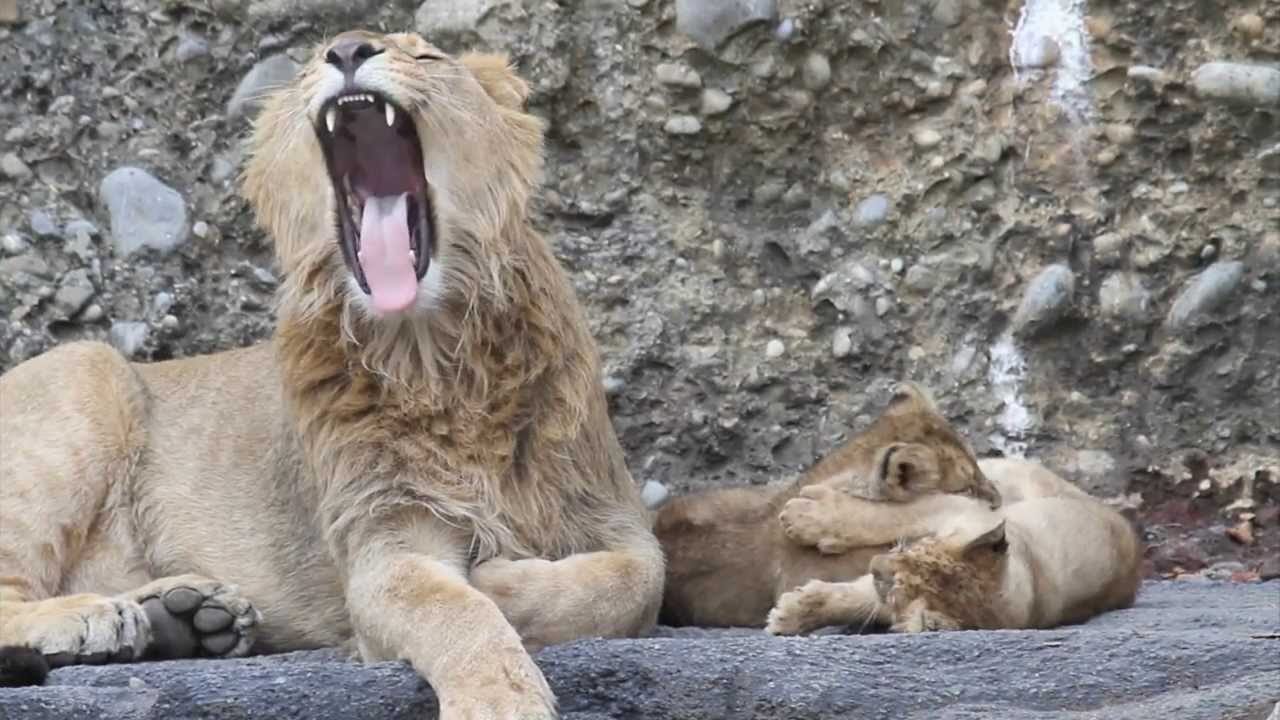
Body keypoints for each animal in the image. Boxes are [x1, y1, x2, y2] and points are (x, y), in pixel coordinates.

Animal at [0, 30, 665, 718]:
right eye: (308, 64)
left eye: (426, 56)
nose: (348, 48)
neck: (431, 356)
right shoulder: (381, 541)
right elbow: (456, 613)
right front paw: (499, 688)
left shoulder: (610, 509)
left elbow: (636, 580)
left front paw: (501, 580)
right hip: (85, 370)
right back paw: (98, 618)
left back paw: (186, 616)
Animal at [765, 457, 1142, 635]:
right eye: (915, 547)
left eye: (899, 591)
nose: (874, 564)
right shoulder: (961, 512)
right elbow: (884, 516)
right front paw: (805, 514)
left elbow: (860, 599)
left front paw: (793, 612)